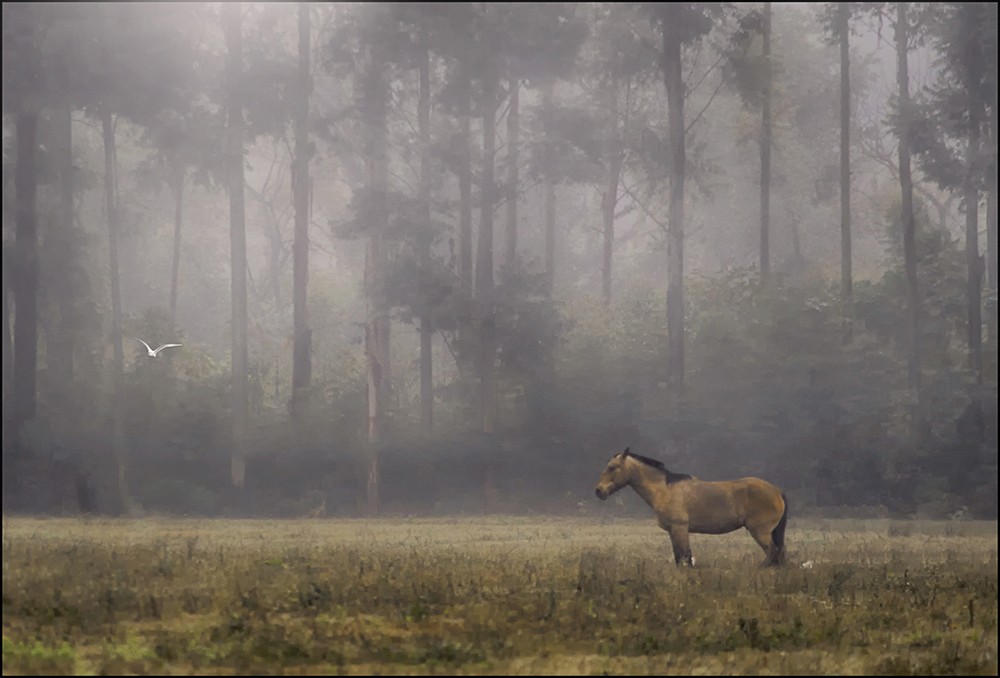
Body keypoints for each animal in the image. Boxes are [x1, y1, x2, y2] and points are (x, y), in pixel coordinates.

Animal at [592, 452, 788, 568]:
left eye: (612, 467)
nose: (599, 491)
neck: (664, 489)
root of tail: (777, 491)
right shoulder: (673, 531)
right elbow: (680, 558)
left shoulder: (680, 528)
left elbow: (685, 558)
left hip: (759, 532)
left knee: (772, 553)